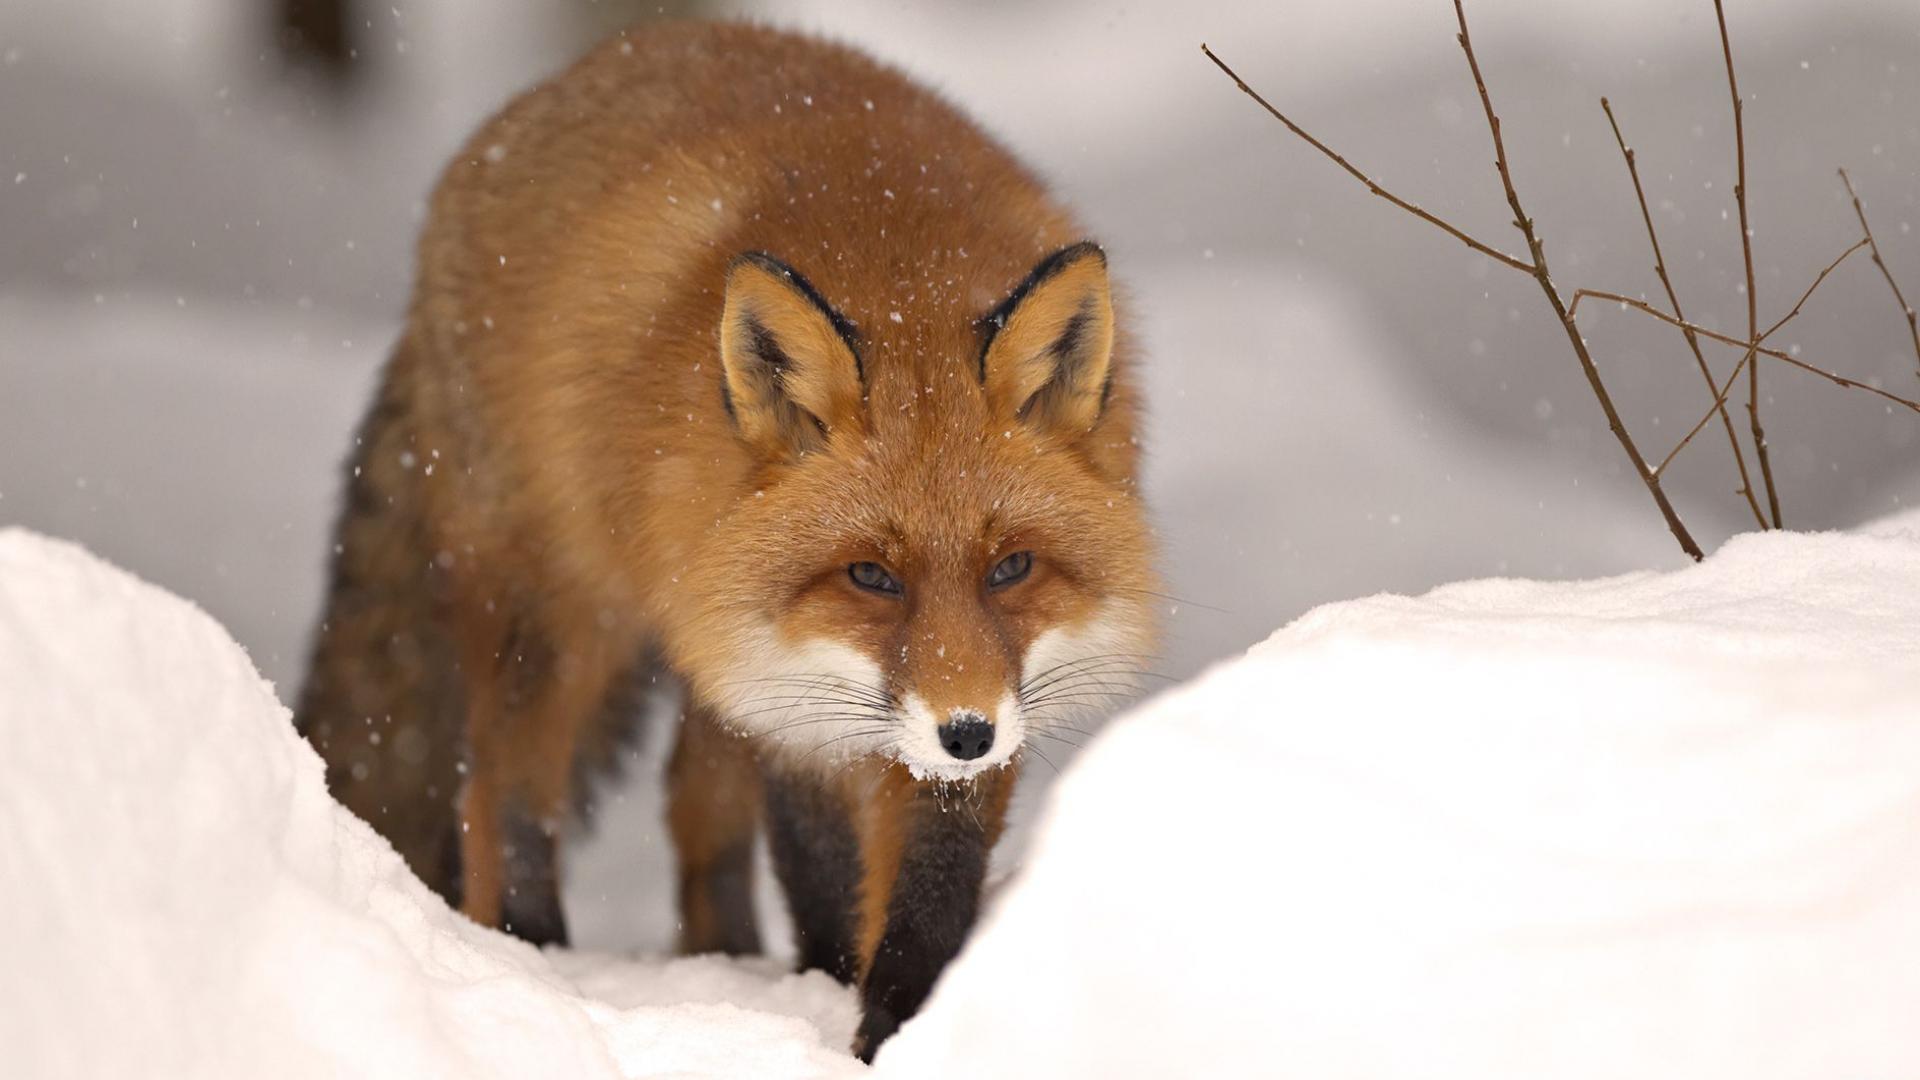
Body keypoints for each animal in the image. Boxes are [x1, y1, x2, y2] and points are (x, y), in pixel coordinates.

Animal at [288, 21, 1152, 1053]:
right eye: (871, 575)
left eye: (1012, 567)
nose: (967, 732)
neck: (901, 269)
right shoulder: (792, 695)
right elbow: (823, 867)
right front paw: (834, 990)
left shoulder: (929, 695)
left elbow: (929, 882)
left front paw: (904, 1020)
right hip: (565, 617)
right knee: (498, 790)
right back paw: (534, 953)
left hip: (705, 637)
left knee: (691, 807)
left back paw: (727, 955)